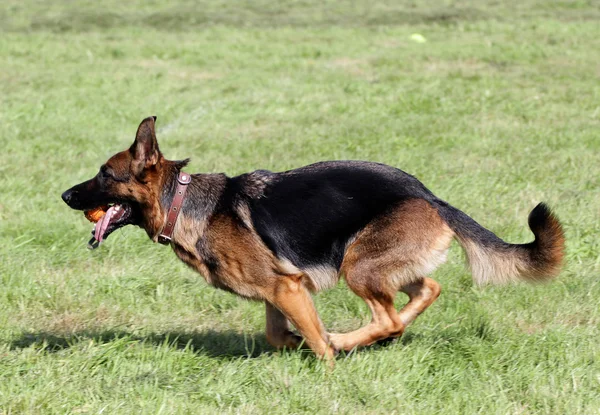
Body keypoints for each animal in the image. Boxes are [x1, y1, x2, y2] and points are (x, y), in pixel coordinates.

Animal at [63, 116, 564, 360]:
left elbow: (316, 343)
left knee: (387, 316)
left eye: (105, 175)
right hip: (384, 264)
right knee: (424, 292)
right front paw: (298, 344)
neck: (182, 203)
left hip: (357, 265)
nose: (64, 194)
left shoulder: (286, 288)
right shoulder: (281, 289)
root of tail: (430, 196)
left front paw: (326, 359)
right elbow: (276, 334)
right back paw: (379, 337)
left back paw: (351, 340)